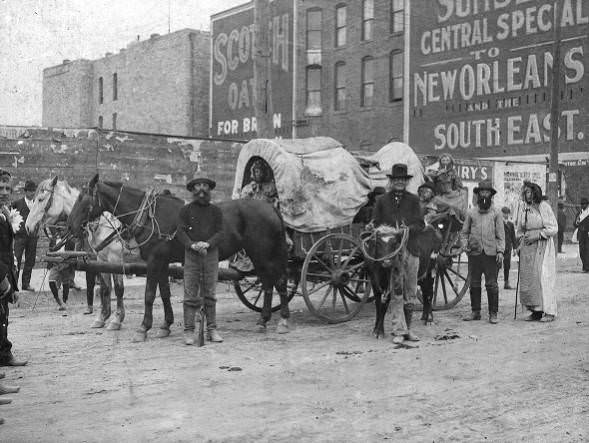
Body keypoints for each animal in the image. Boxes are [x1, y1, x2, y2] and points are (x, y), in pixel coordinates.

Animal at [26, 177, 126, 330]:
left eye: (41, 199)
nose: (27, 226)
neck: (104, 226)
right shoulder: (101, 260)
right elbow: (105, 288)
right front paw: (102, 317)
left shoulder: (115, 259)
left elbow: (118, 289)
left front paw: (117, 319)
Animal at [66, 175, 290, 342]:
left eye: (83, 198)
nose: (70, 226)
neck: (149, 216)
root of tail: (271, 208)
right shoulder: (162, 262)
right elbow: (164, 293)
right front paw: (166, 325)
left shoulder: (154, 261)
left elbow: (149, 294)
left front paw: (143, 328)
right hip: (259, 256)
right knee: (268, 284)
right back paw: (263, 320)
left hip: (264, 254)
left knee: (278, 282)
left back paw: (282, 321)